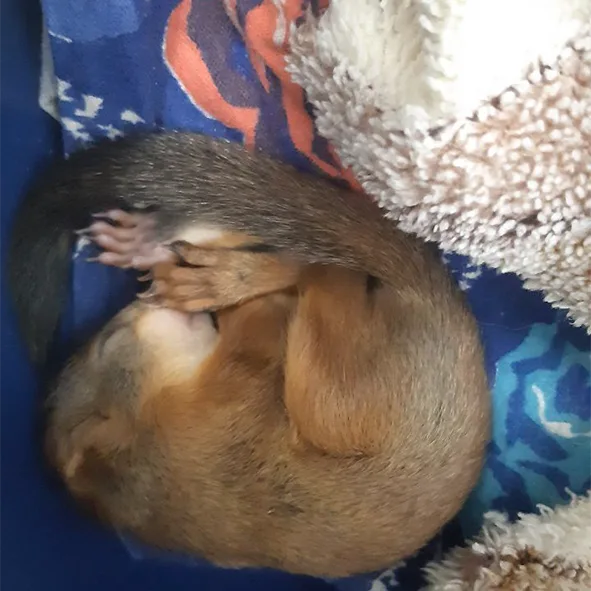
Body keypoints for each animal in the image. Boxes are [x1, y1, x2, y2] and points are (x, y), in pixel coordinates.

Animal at [7, 132, 490, 577]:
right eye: (111, 340)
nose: (135, 308)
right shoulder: (232, 403)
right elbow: (262, 325)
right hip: (333, 395)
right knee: (319, 270)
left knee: (309, 265)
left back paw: (165, 250)